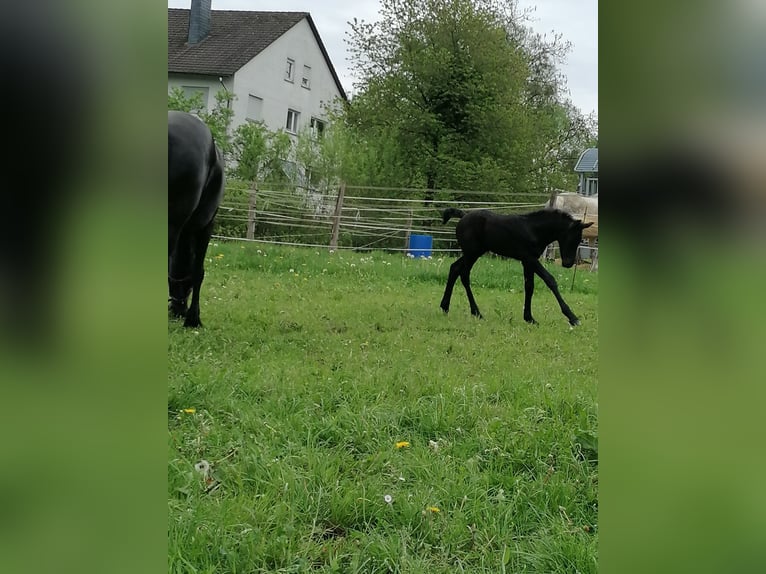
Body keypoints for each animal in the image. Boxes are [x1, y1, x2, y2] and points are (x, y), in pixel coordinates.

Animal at [440, 209, 596, 328]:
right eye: (572, 238)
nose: (568, 263)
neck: (534, 230)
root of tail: (464, 216)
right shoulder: (530, 258)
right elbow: (550, 280)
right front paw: (573, 317)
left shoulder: (527, 262)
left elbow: (529, 286)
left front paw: (529, 318)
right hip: (471, 253)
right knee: (464, 274)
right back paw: (476, 312)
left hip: (474, 252)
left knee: (455, 268)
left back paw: (445, 307)